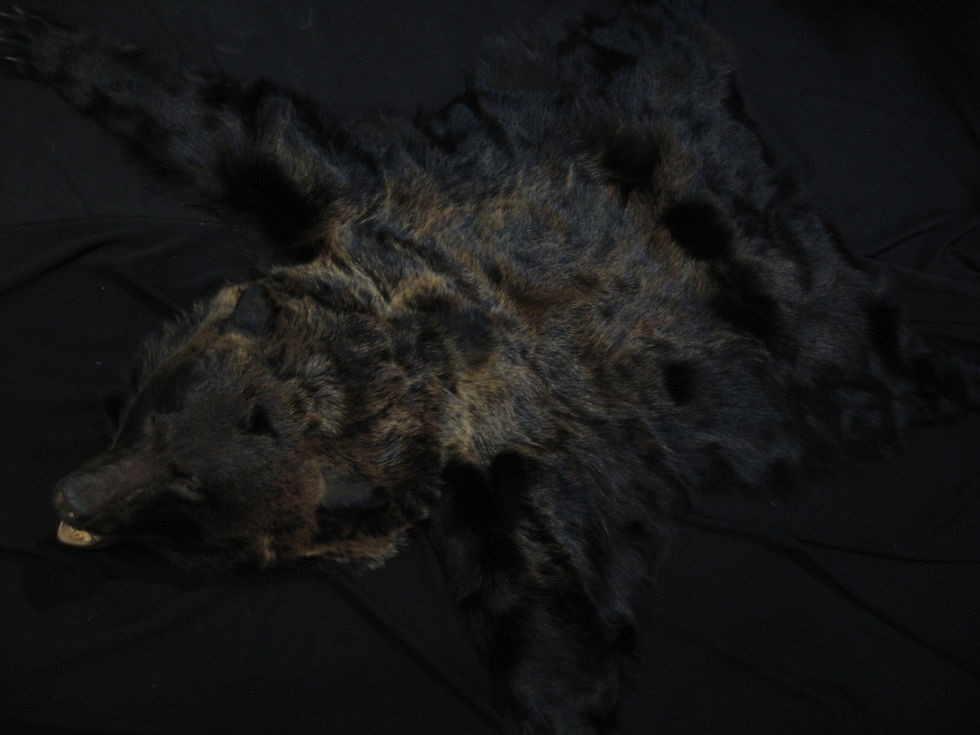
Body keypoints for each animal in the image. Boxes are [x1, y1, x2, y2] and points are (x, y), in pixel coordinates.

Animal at [1, 3, 977, 733]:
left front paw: (564, 700)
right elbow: (226, 126)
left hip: (817, 333)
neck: (415, 343)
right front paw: (34, 35)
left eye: (189, 486)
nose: (74, 497)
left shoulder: (520, 448)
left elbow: (545, 590)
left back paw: (945, 369)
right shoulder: (362, 209)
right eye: (157, 416)